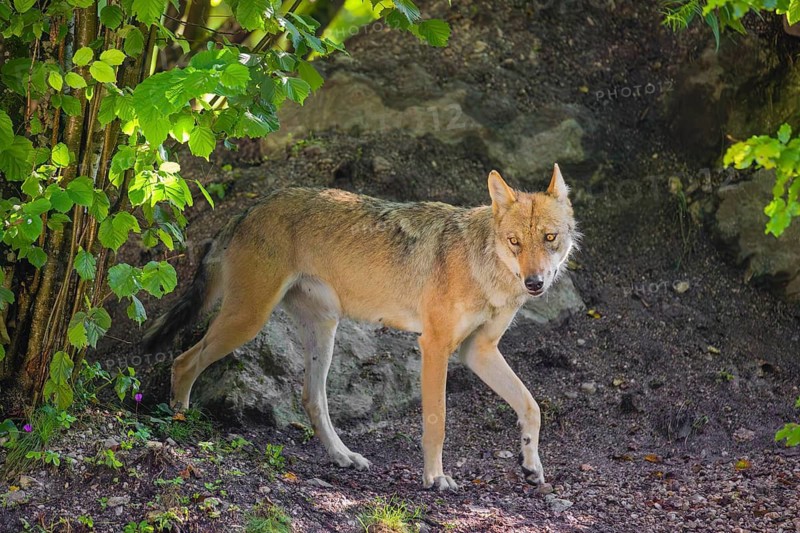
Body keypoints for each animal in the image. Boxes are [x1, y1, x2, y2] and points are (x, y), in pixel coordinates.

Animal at [144, 164, 578, 490]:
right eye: (515, 241)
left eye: (549, 238)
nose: (535, 283)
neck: (484, 268)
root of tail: (246, 210)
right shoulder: (435, 346)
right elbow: (437, 422)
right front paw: (435, 479)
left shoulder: (478, 351)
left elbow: (532, 406)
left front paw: (531, 465)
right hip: (248, 321)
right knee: (183, 362)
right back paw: (180, 424)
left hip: (323, 331)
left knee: (311, 398)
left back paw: (343, 457)